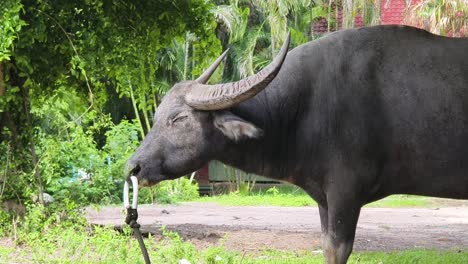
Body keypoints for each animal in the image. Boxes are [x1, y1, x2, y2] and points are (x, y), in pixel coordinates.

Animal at [125, 25, 468, 264]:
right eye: (156, 115)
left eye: (179, 118)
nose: (133, 166)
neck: (303, 111)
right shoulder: (324, 200)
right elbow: (326, 247)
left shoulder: (345, 194)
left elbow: (339, 250)